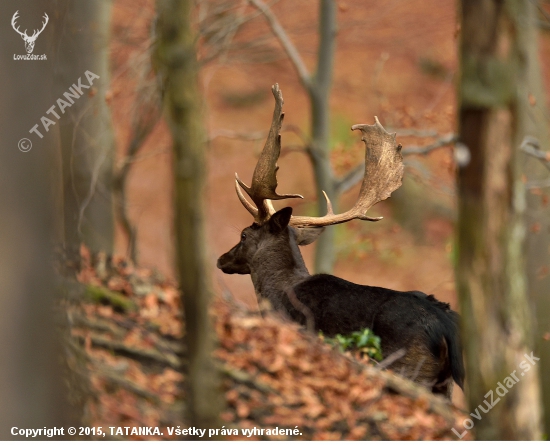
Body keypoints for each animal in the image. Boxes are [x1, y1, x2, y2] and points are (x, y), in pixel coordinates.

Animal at [218, 84, 464, 398]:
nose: (221, 258)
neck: (277, 295)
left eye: (244, 234)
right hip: (443, 385)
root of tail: (445, 327)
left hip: (410, 369)